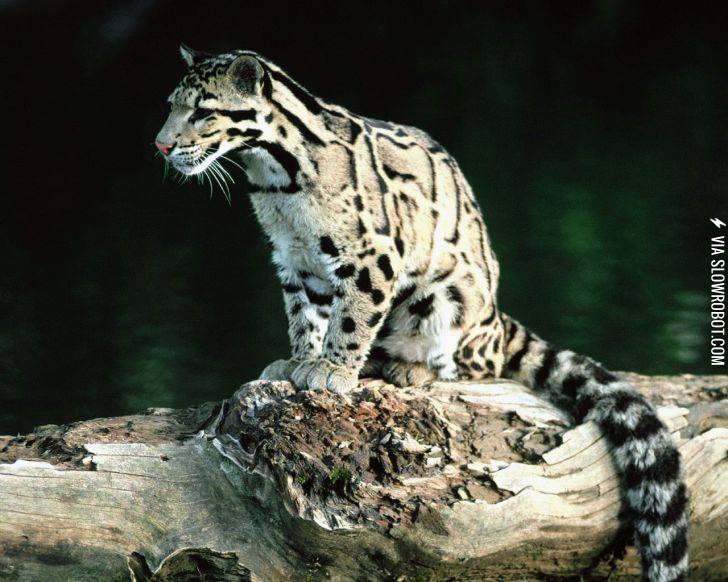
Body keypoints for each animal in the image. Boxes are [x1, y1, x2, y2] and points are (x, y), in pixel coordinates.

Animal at [155, 45, 689, 581]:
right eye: (171, 105)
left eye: (202, 112)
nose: (161, 145)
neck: (275, 180)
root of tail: (498, 322)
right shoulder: (294, 259)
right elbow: (304, 315)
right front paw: (299, 360)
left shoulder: (372, 255)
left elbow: (350, 319)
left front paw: (331, 370)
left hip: (446, 300)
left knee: (473, 366)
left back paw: (409, 368)